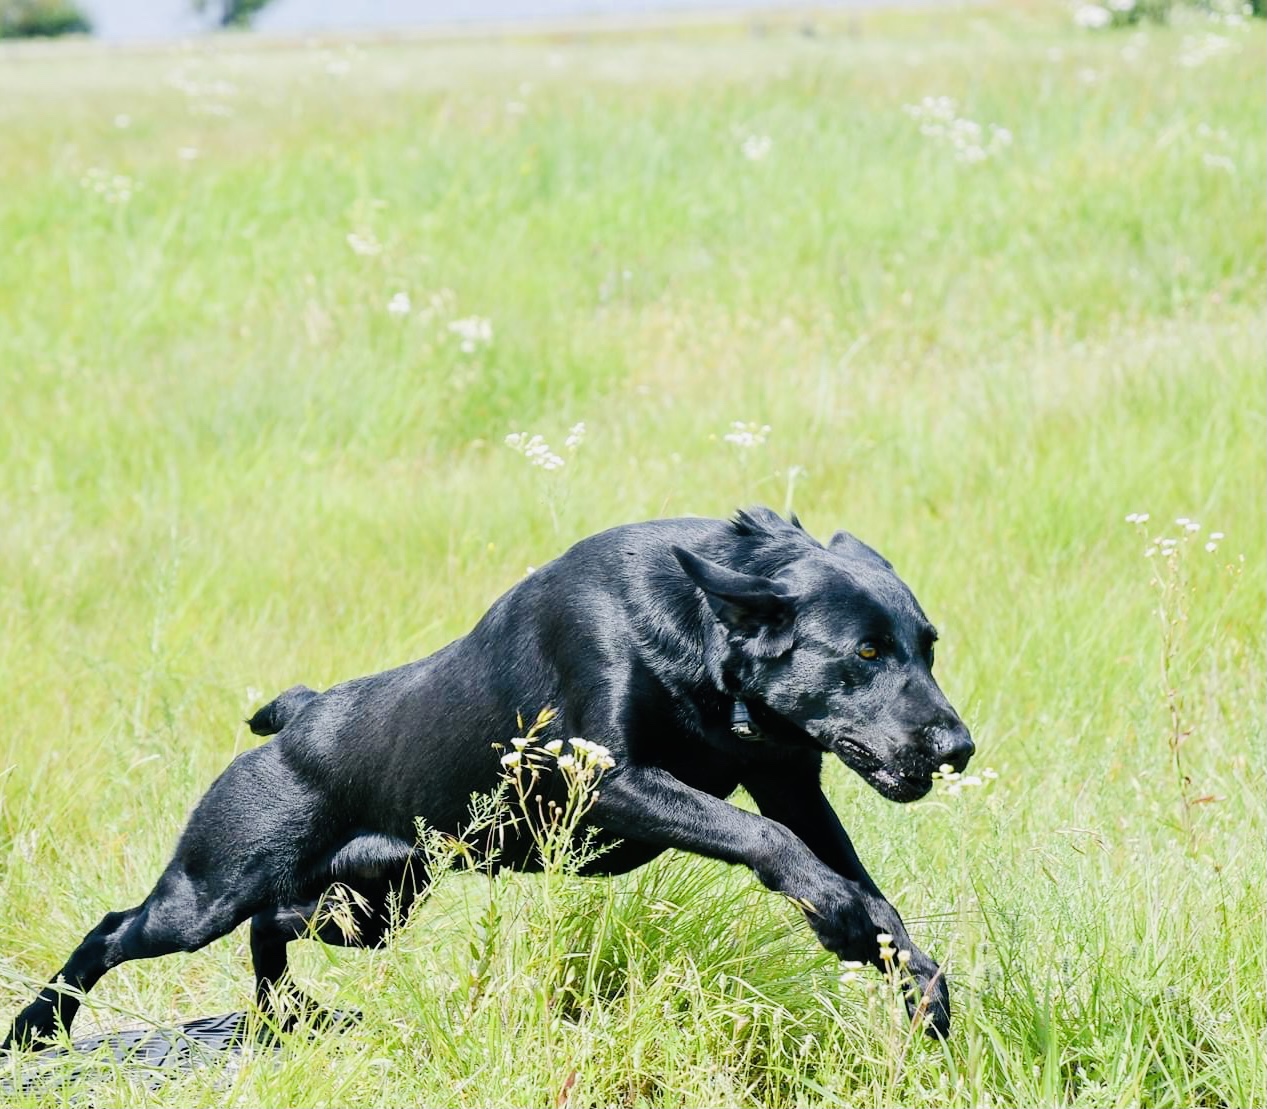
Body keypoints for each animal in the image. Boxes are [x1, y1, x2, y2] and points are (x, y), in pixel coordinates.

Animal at [2, 512, 967, 1049]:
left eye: (925, 645)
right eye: (864, 653)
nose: (958, 745)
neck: (699, 630)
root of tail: (302, 715)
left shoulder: (791, 784)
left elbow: (858, 882)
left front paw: (909, 974)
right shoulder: (611, 781)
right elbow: (770, 845)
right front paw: (841, 919)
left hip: (369, 907)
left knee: (271, 930)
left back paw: (290, 1018)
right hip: (209, 890)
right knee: (114, 929)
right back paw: (37, 1029)